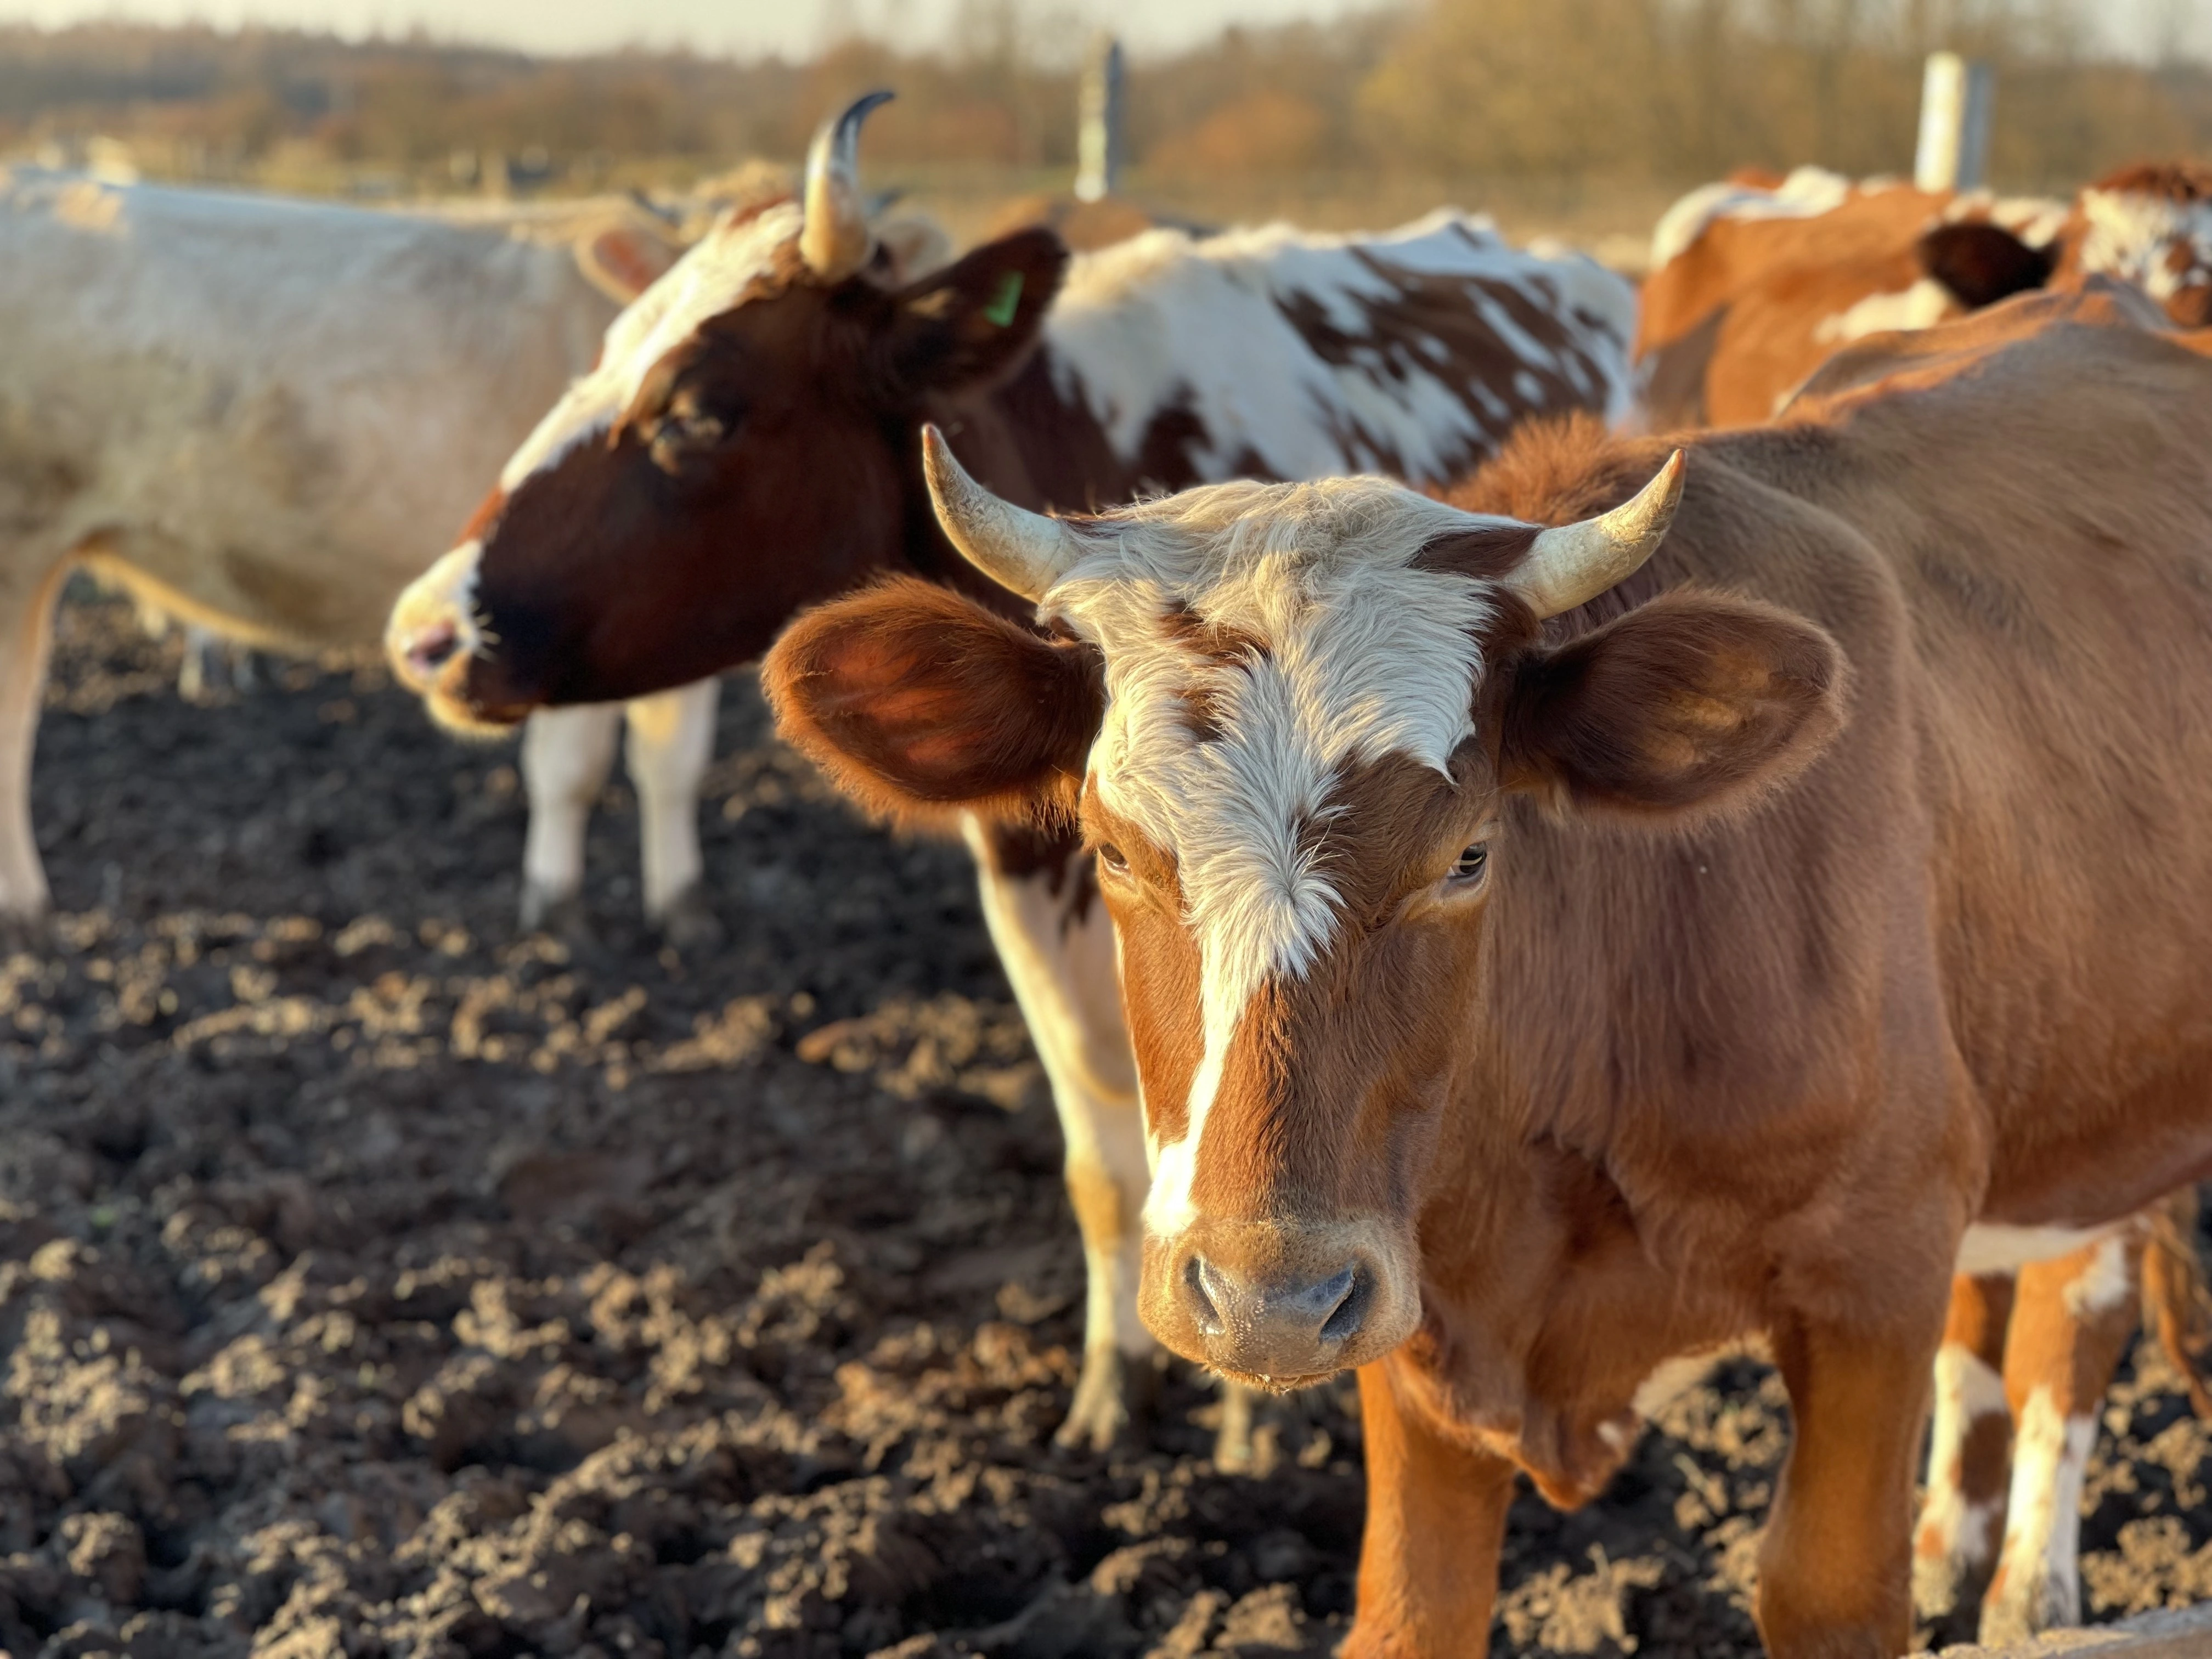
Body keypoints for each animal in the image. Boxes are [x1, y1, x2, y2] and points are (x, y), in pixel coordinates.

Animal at [389, 97, 1645, 1460]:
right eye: (603, 355)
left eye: (698, 411)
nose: (426, 630)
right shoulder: (1033, 887)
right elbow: (1106, 1167)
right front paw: (1111, 1386)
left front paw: (1255, 1422)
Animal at [765, 280, 2212, 1654]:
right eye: (1116, 851)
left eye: (1467, 854)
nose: (1265, 1300)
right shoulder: (1413, 1321)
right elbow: (1414, 1610)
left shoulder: (1875, 1270)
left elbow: (1831, 1591)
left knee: (2073, 1321)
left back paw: (2027, 1589)